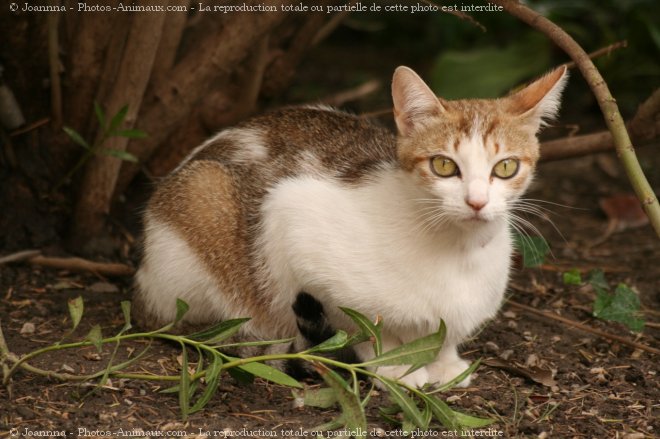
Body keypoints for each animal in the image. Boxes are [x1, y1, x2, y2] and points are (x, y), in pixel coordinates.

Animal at [134, 64, 568, 388]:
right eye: (444, 165)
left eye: (505, 167)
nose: (476, 202)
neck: (458, 250)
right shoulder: (291, 222)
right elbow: (363, 328)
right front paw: (394, 367)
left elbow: (446, 336)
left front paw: (444, 363)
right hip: (202, 197)